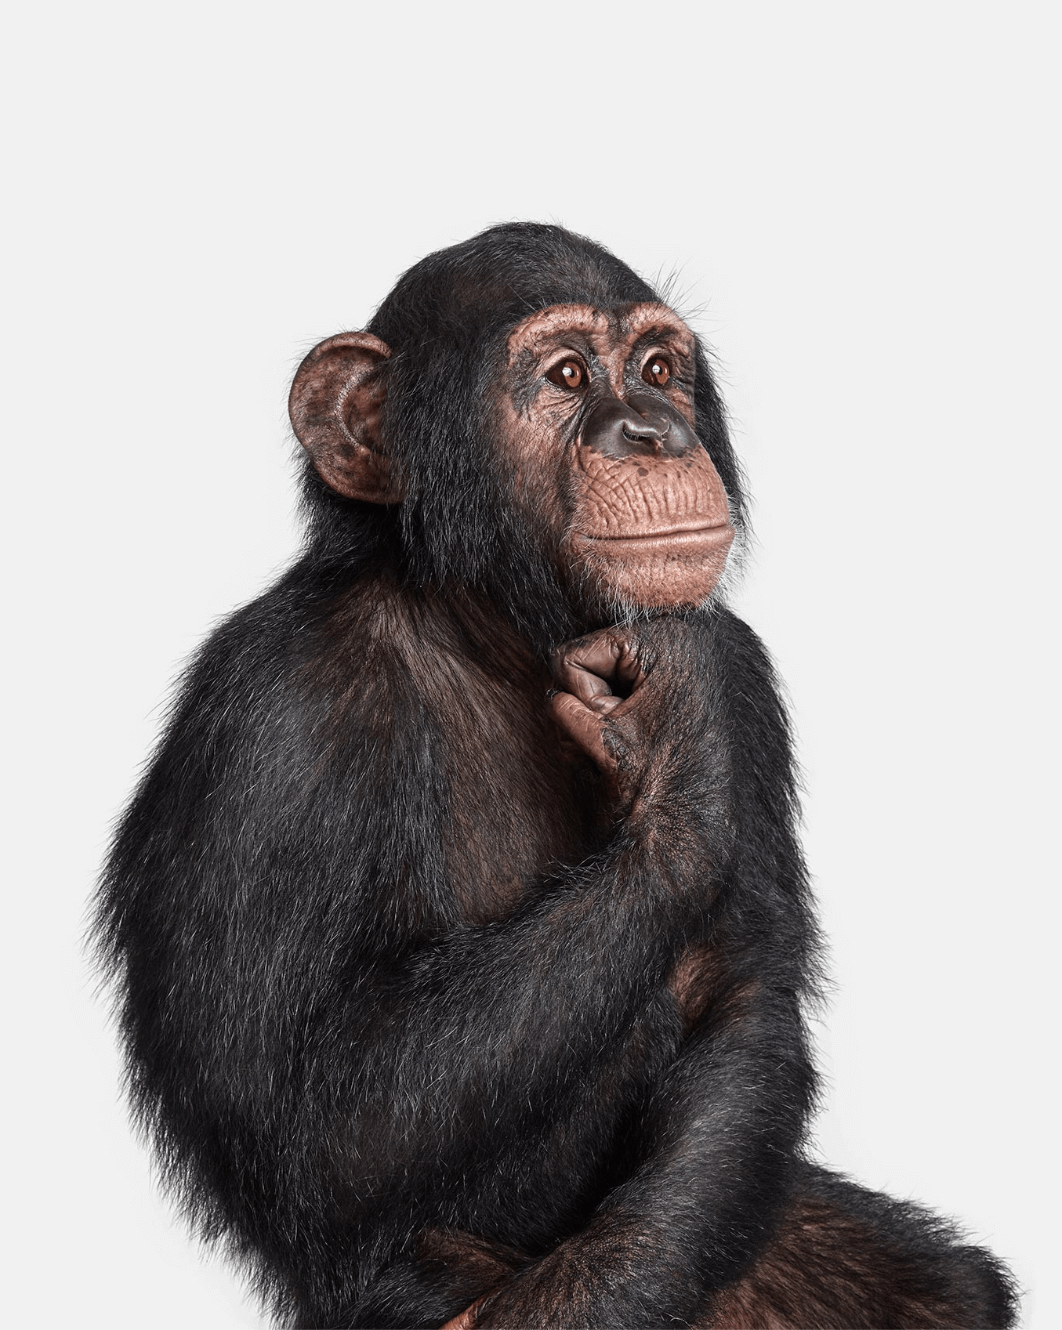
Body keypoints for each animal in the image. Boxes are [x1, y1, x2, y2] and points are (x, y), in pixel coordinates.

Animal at [95, 223, 1016, 1324]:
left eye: (658, 369)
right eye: (568, 375)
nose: (654, 429)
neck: (496, 634)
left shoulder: (744, 667)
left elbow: (743, 1003)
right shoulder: (278, 721)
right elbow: (316, 1125)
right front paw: (676, 739)